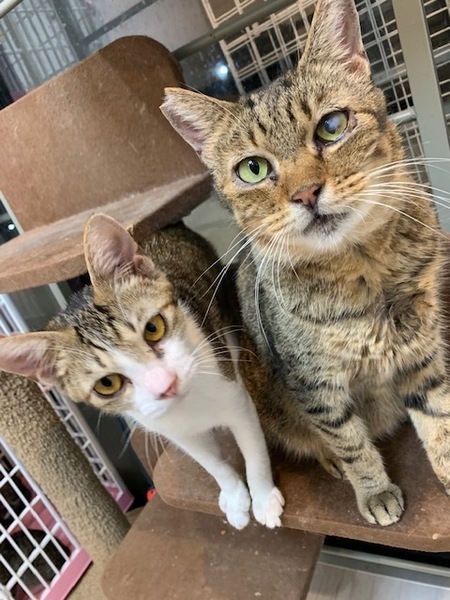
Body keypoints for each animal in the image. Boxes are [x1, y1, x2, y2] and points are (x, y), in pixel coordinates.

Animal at [0, 214, 284, 530]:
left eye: (153, 328)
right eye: (107, 383)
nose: (166, 385)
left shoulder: (234, 397)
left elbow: (253, 450)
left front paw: (263, 498)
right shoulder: (174, 431)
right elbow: (211, 463)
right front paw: (234, 496)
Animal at [160, 0, 450, 527]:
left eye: (332, 126)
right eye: (252, 168)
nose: (306, 193)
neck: (365, 274)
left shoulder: (422, 353)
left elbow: (439, 420)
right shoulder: (315, 386)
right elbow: (350, 441)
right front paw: (373, 489)